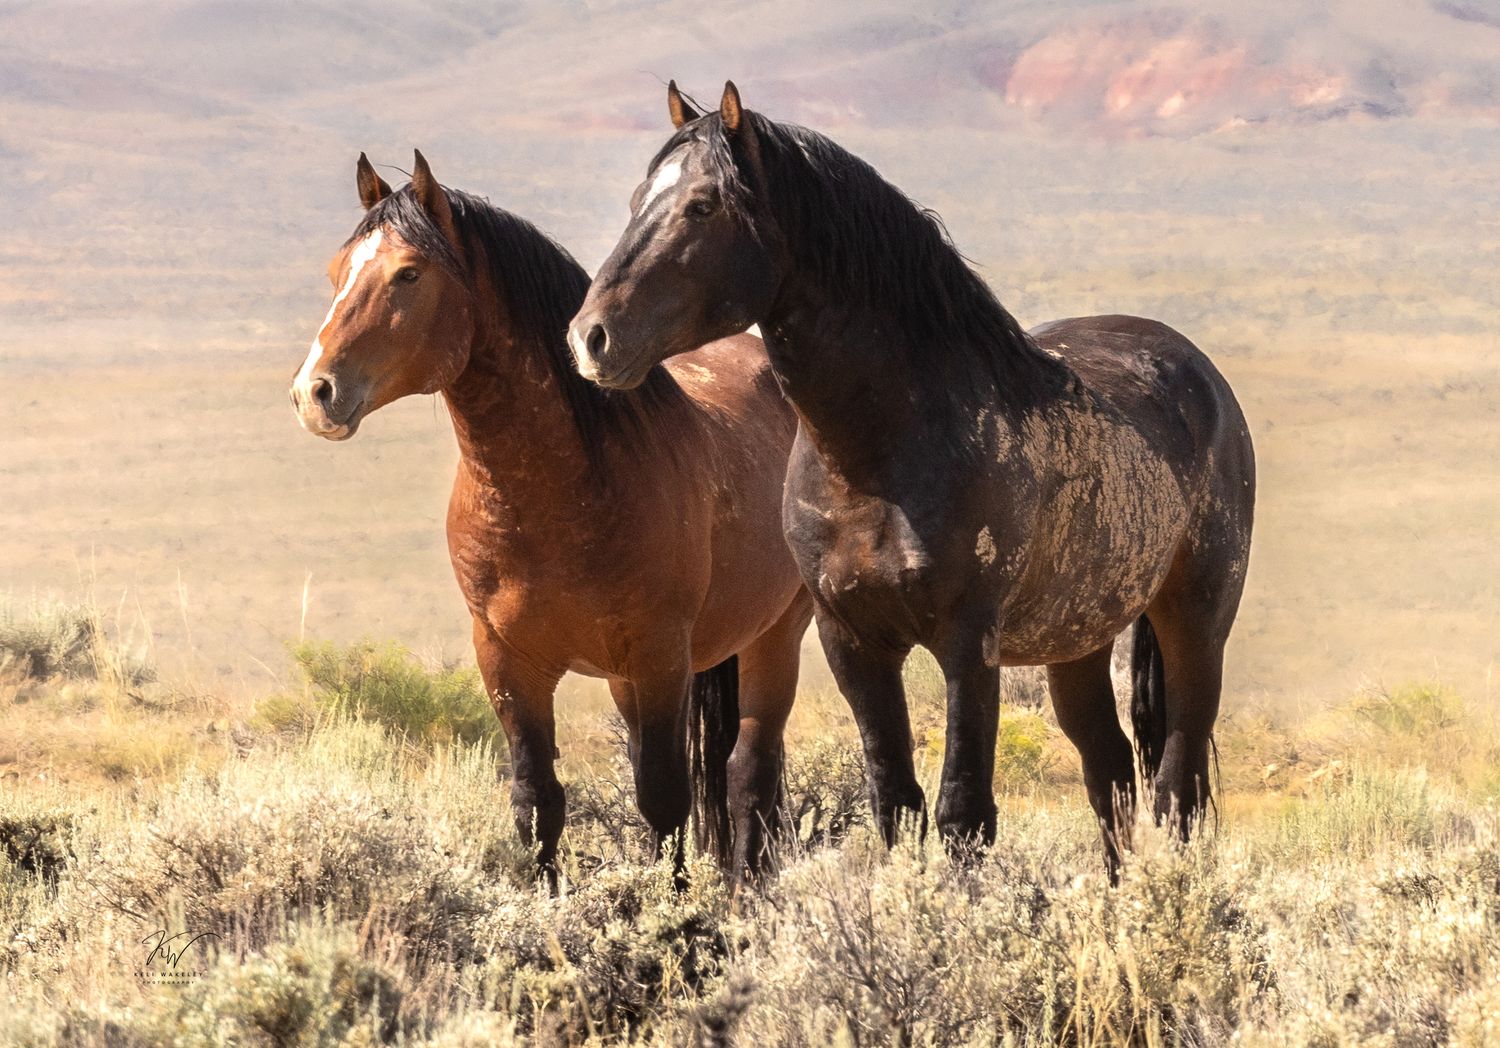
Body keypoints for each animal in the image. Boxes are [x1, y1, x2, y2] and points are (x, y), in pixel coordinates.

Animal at [289, 150, 813, 882]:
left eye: (409, 273)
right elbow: (537, 802)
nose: (314, 392)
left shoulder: (661, 657)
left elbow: (664, 797)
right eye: (337, 271)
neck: (560, 495)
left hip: (775, 635)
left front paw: (677, 907)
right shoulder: (508, 661)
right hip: (630, 679)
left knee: (750, 775)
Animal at [568, 83, 1255, 874]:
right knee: (1108, 771)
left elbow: (964, 811)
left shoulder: (967, 643)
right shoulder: (853, 641)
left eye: (703, 205)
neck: (880, 456)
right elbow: (895, 799)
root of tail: (1196, 370)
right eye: (636, 199)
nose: (590, 338)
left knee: (1177, 782)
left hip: (1195, 621)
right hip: (1078, 637)